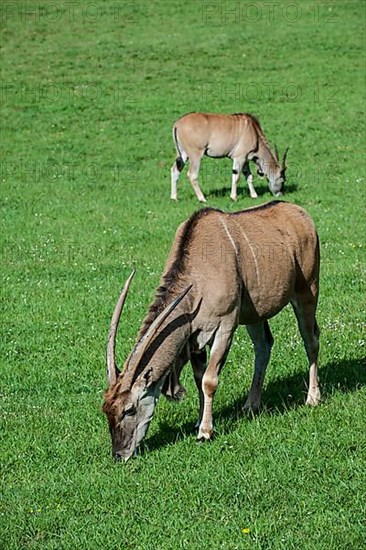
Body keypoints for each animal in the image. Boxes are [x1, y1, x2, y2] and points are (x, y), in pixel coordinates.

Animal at [103, 202, 320, 462]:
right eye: (106, 410)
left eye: (130, 409)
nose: (119, 454)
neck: (200, 275)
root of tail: (300, 213)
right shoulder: (195, 337)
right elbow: (199, 379)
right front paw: (199, 422)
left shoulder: (225, 327)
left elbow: (209, 380)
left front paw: (205, 432)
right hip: (254, 314)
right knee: (264, 346)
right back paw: (251, 405)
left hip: (307, 294)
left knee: (311, 341)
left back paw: (313, 398)